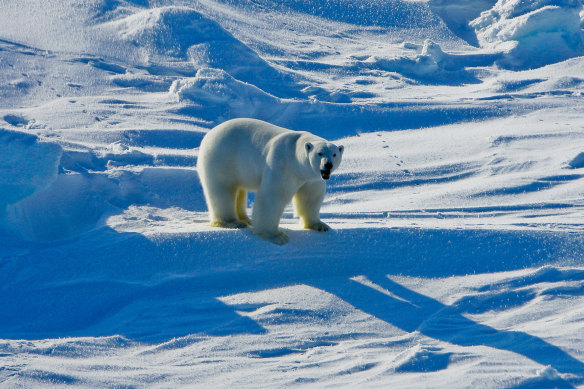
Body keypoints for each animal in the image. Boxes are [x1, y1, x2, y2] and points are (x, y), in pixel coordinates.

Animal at [197, 117, 342, 242]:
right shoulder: (282, 166)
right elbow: (272, 197)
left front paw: (320, 226)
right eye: (319, 153)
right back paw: (232, 222)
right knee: (223, 190)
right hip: (222, 157)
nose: (328, 165)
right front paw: (276, 236)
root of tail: (210, 134)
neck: (295, 159)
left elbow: (311, 198)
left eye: (334, 154)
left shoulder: (313, 178)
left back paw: (246, 219)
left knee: (239, 190)